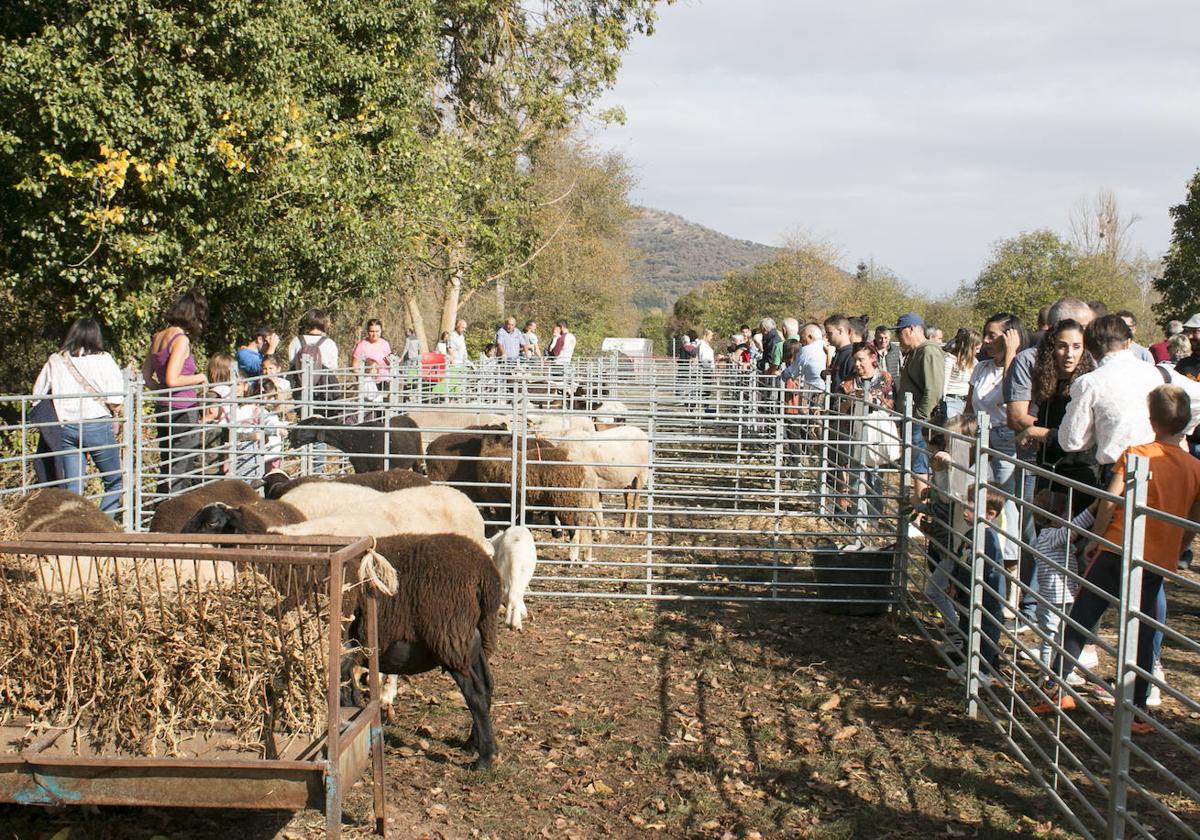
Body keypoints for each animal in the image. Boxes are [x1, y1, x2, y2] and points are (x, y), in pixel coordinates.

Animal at [290, 412, 422, 472]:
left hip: (418, 459)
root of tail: (407, 417)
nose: (291, 436)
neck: (352, 439)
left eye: (306, 428)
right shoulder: (360, 469)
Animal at [340, 535, 504, 772]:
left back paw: (485, 758)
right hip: (473, 641)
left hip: (450, 637)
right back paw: (472, 744)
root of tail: (485, 574)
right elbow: (348, 695)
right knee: (487, 684)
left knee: (476, 693)